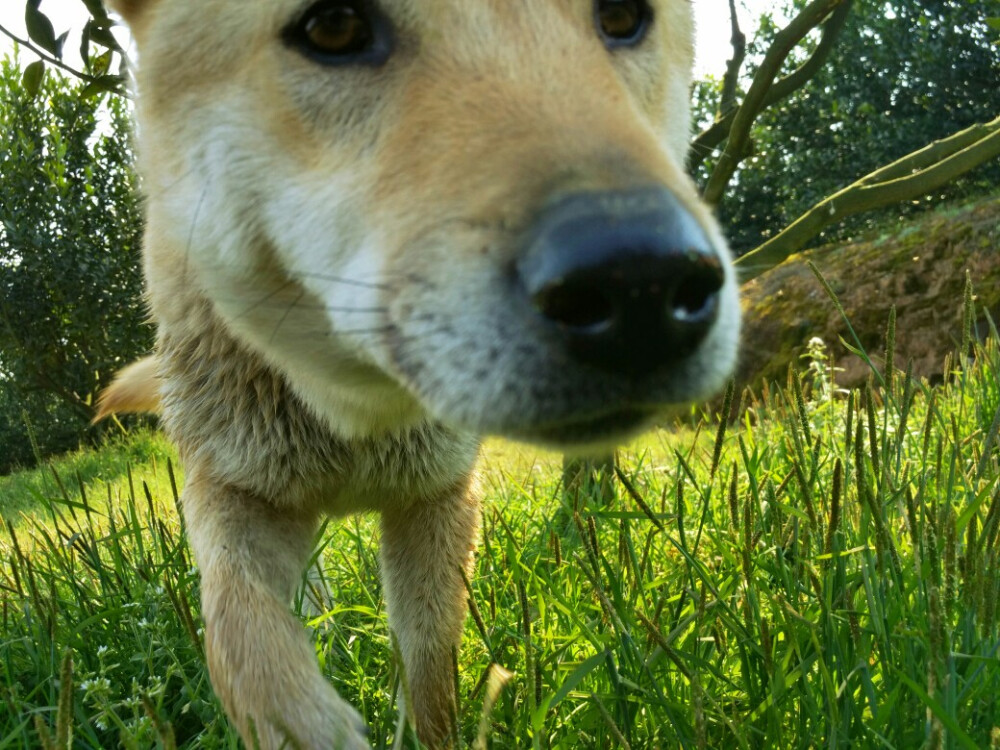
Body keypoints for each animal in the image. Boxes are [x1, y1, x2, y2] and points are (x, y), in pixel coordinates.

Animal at [99, 2, 744, 748]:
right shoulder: (231, 489)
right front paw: (305, 723)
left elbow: (433, 661)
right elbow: (240, 635)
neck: (356, 414)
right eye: (333, 28)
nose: (642, 281)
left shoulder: (437, 498)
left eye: (622, 17)